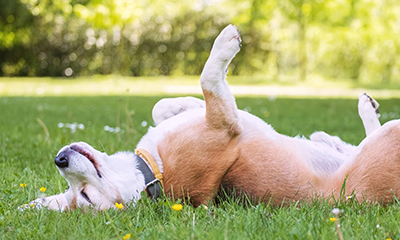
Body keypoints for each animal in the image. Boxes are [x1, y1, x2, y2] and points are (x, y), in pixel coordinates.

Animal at [25, 25, 400, 211]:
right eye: (84, 195)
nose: (60, 159)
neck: (150, 172)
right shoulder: (223, 125)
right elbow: (208, 79)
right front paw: (225, 44)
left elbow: (162, 105)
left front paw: (180, 104)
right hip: (392, 135)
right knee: (378, 132)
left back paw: (345, 125)